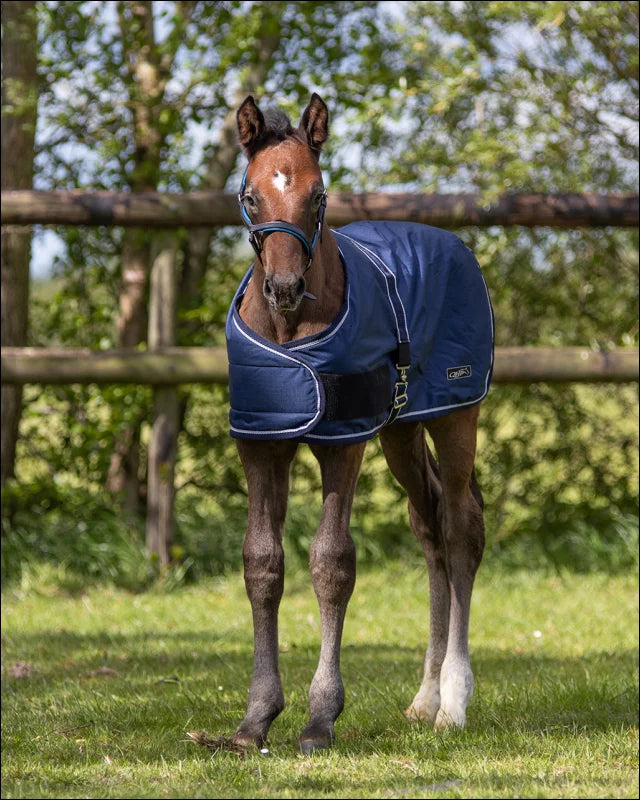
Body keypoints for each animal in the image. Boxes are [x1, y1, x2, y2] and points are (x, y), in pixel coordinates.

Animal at [225, 93, 493, 754]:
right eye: (250, 196)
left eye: (318, 194)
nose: (285, 287)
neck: (289, 335)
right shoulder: (261, 443)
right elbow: (262, 563)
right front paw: (255, 719)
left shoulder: (340, 442)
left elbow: (331, 563)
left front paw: (321, 717)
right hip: (401, 429)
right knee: (429, 528)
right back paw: (424, 698)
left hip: (456, 415)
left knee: (459, 529)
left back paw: (454, 700)